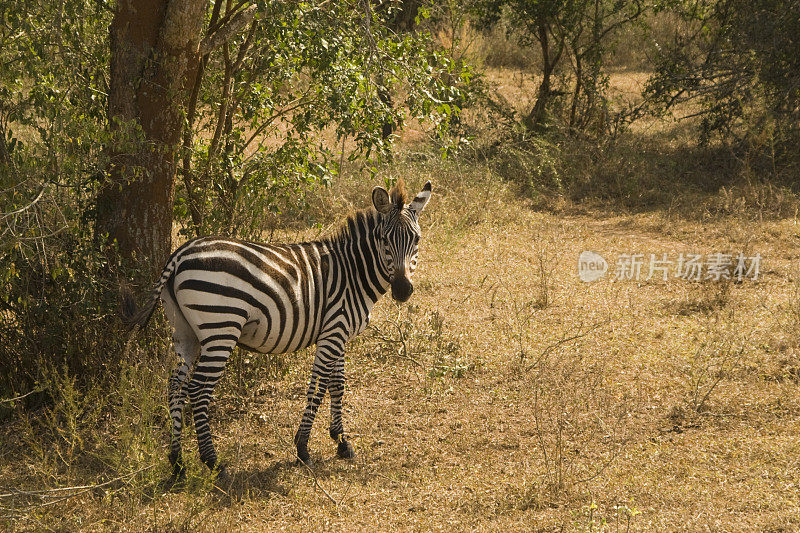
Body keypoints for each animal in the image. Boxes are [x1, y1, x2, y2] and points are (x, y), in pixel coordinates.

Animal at [123, 180, 432, 482]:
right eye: (384, 239)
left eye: (416, 240)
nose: (403, 290)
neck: (352, 271)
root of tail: (179, 255)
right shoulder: (334, 331)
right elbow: (318, 386)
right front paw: (303, 447)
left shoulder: (338, 334)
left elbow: (337, 384)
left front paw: (341, 441)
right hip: (220, 328)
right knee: (198, 389)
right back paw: (213, 462)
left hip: (184, 331)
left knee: (175, 386)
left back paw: (177, 464)